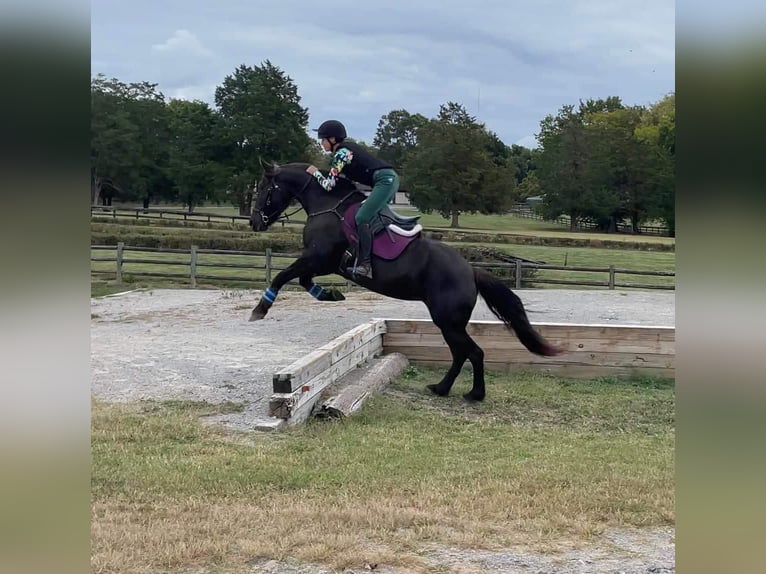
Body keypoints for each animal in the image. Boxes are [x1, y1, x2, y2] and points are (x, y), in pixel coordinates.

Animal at [249, 162, 560, 402]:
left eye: (263, 190)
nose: (254, 223)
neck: (326, 206)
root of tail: (470, 271)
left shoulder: (319, 259)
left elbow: (283, 275)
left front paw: (259, 310)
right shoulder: (320, 263)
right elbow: (301, 279)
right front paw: (331, 295)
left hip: (447, 321)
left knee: (472, 352)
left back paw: (472, 394)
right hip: (450, 323)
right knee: (463, 354)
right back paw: (443, 388)